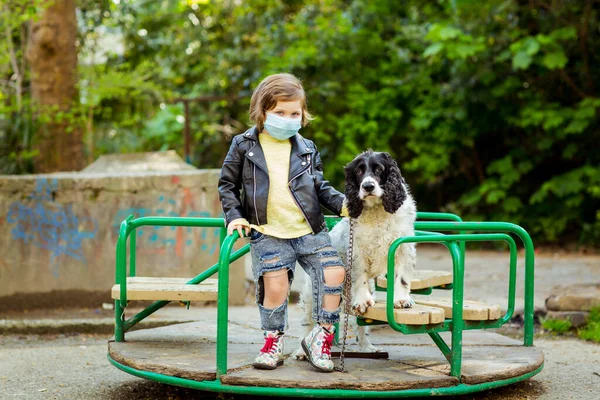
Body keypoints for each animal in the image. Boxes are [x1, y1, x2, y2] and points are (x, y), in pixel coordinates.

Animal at [296, 150, 418, 354]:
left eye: (379, 169)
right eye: (359, 171)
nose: (368, 186)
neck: (377, 210)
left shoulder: (402, 247)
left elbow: (401, 278)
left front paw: (402, 300)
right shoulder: (357, 252)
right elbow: (360, 278)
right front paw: (361, 300)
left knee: (358, 325)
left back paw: (367, 347)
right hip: (311, 292)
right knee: (308, 322)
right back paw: (301, 352)